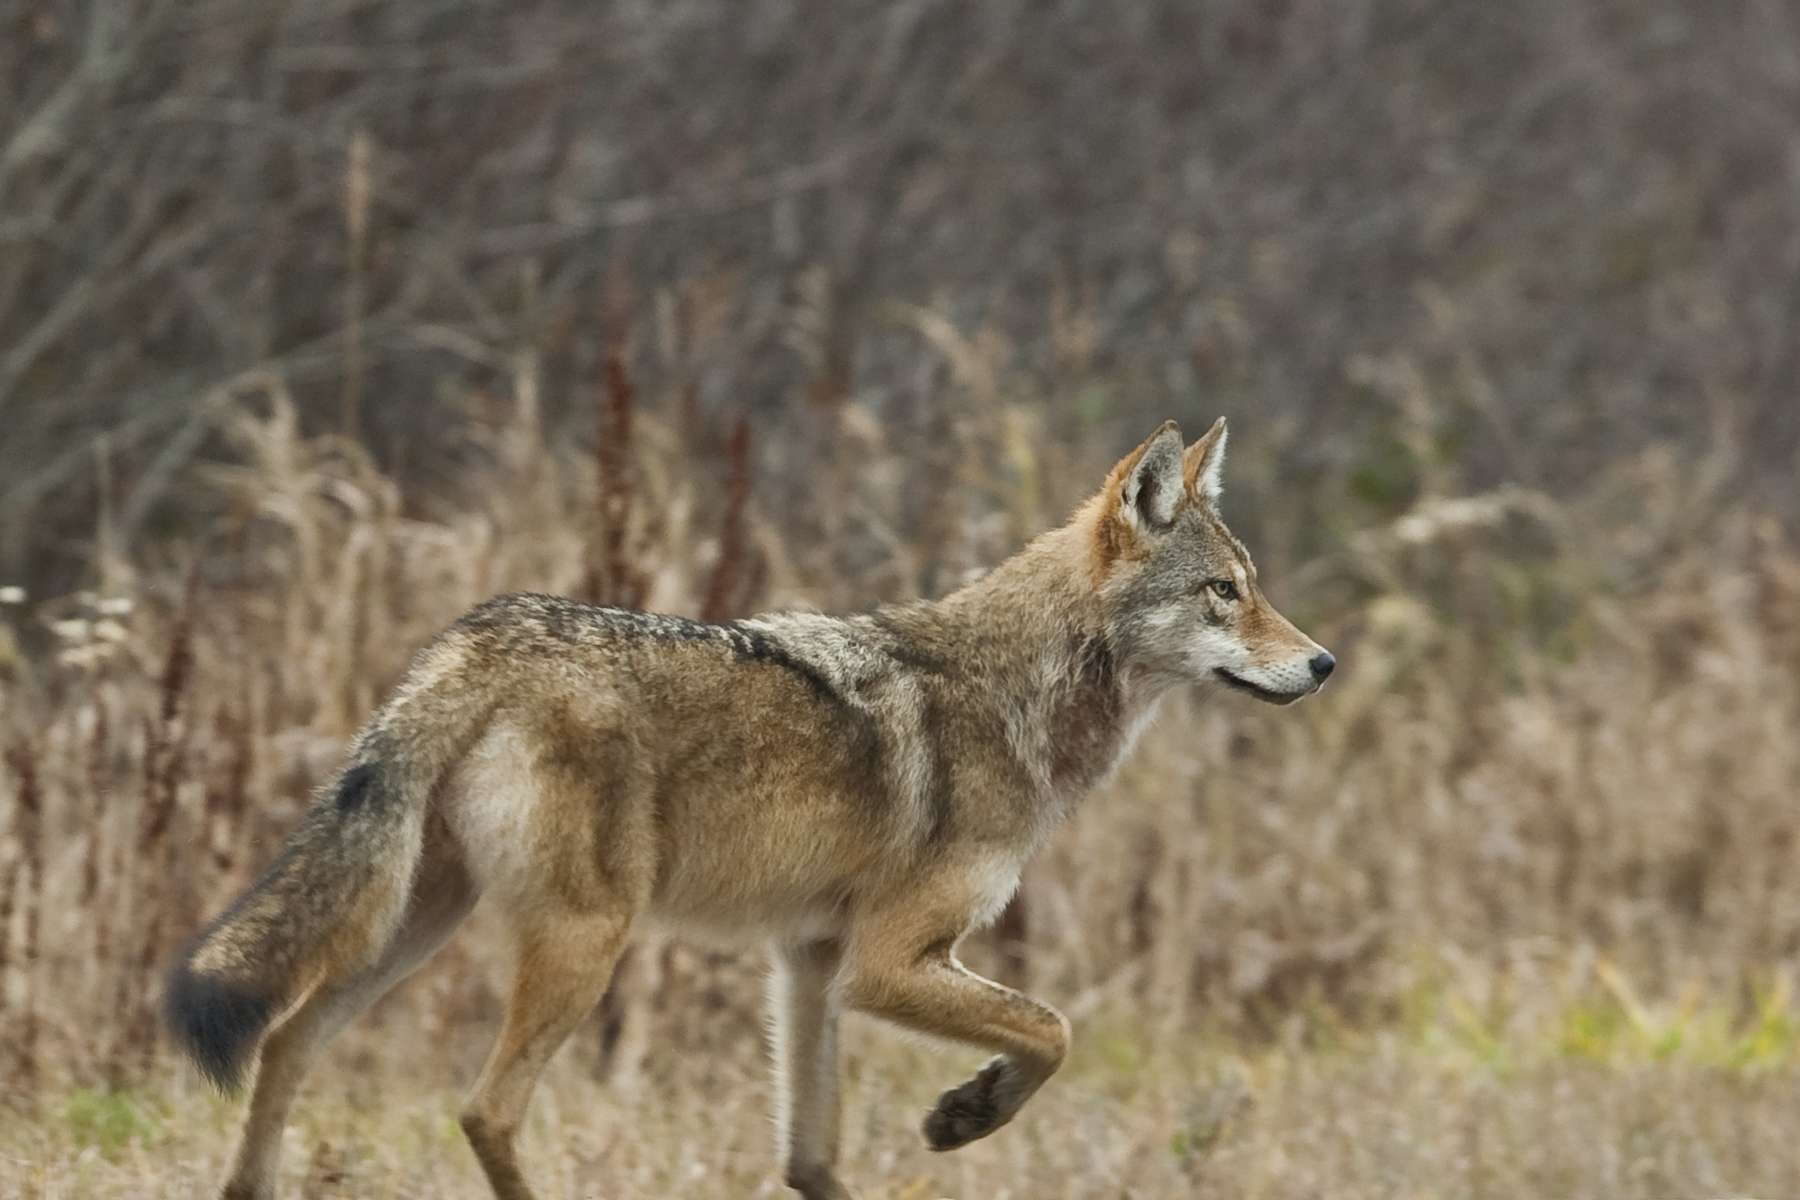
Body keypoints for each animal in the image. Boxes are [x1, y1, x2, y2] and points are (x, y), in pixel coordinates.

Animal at [169, 415, 1339, 1200]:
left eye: (1253, 586)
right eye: (1224, 593)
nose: (1325, 662)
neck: (1023, 694)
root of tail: (475, 640)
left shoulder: (811, 961)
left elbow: (812, 1157)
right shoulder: (885, 963)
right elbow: (1053, 1030)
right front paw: (966, 1115)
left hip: (419, 926)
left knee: (286, 1043)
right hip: (583, 943)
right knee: (482, 1108)